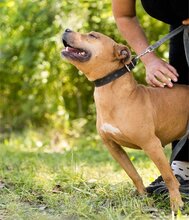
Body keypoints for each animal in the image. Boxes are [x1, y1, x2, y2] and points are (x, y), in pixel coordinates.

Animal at [62, 29, 189, 211]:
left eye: (93, 35)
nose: (66, 29)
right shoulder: (113, 147)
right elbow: (133, 174)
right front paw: (144, 198)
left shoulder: (152, 144)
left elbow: (169, 177)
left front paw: (177, 203)